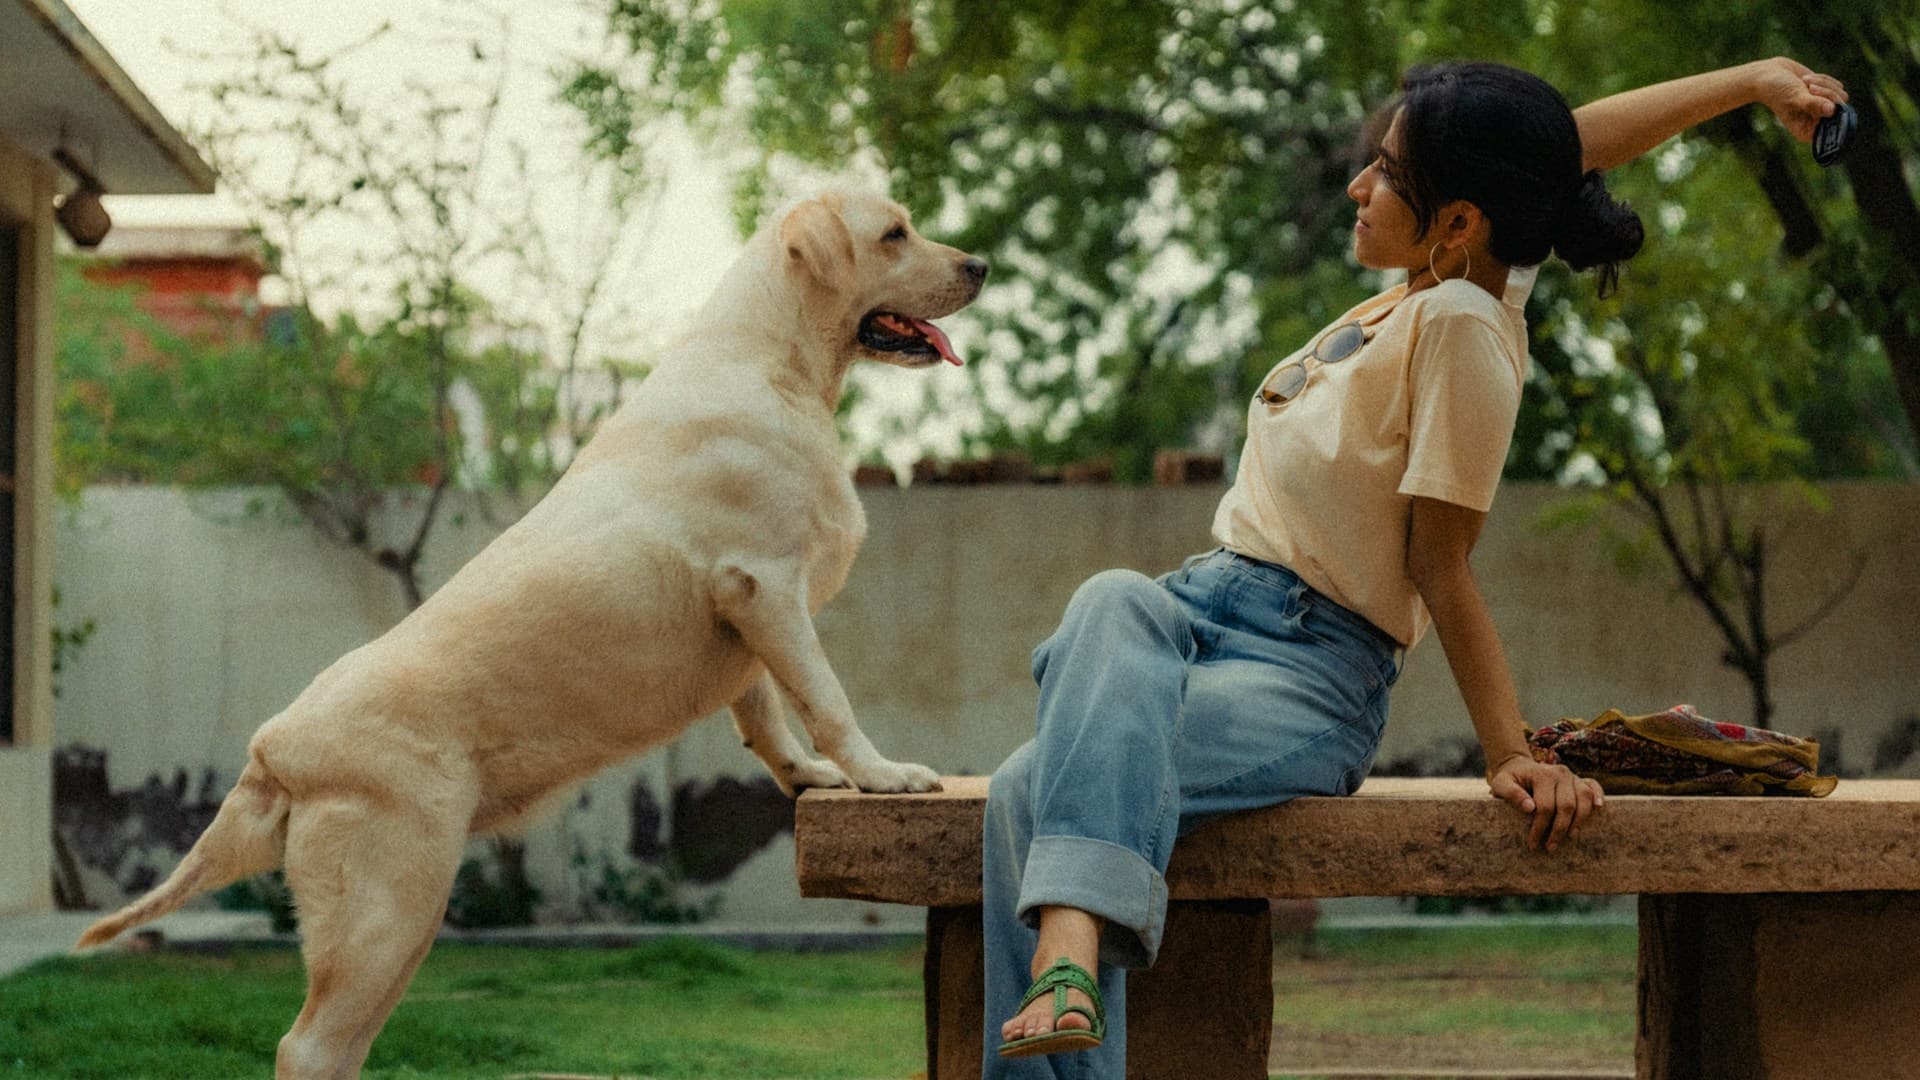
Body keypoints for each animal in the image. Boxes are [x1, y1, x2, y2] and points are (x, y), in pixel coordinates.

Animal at [76, 187, 990, 1076]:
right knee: (308, 1047)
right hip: (386, 908)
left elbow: (763, 712)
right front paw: (882, 776)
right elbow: (826, 698)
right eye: (895, 233)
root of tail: (273, 747)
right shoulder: (765, 585)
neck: (772, 363)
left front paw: (807, 777)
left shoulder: (749, 612)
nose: (980, 265)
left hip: (399, 920)